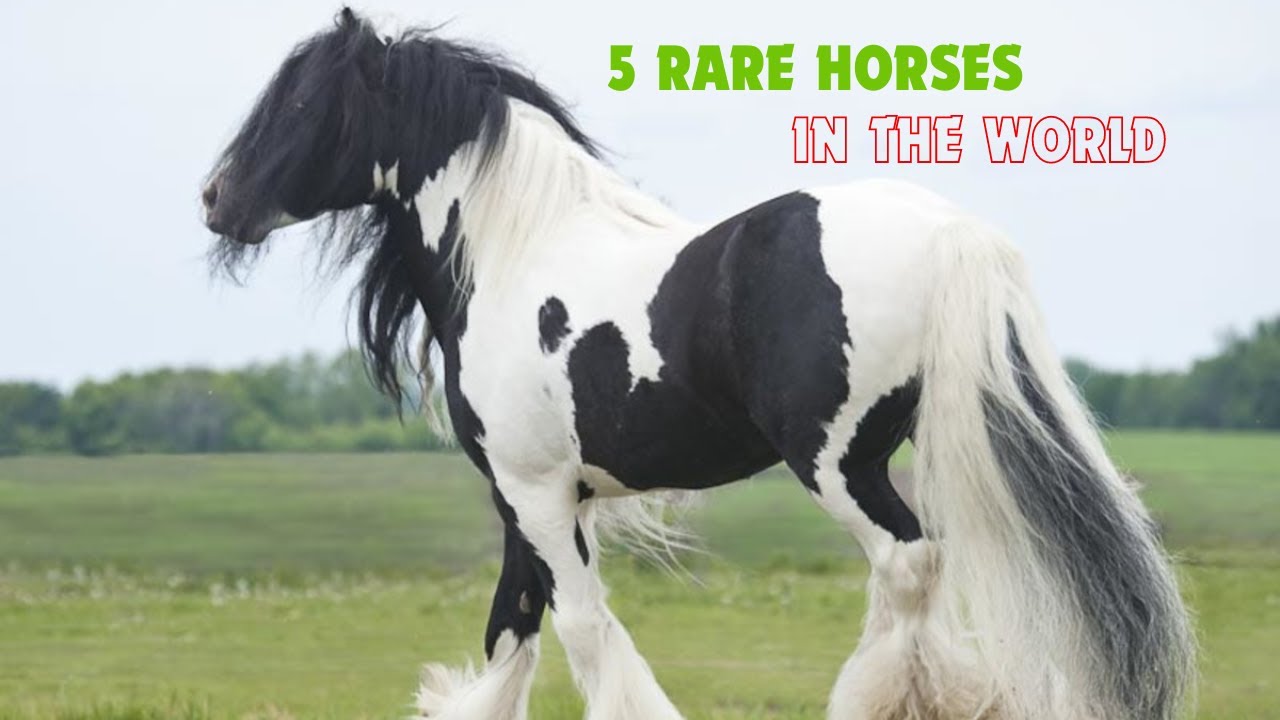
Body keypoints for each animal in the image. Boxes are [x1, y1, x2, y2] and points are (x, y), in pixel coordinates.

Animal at [202, 10, 1194, 720]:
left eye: (301, 105)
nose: (217, 200)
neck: (516, 253)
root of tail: (951, 230)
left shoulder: (536, 493)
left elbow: (582, 629)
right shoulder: (531, 496)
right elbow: (512, 628)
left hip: (839, 462)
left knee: (907, 568)